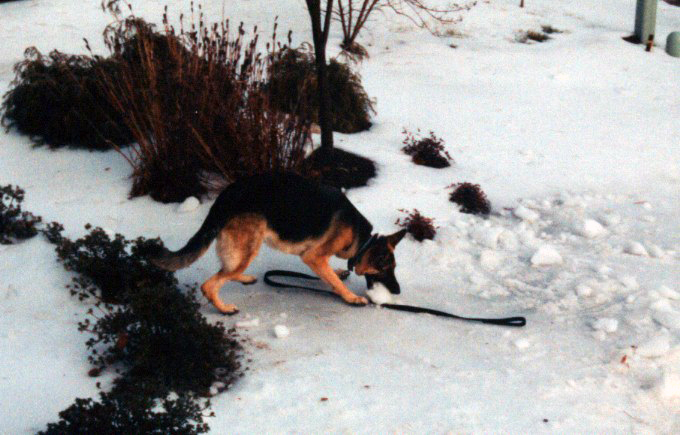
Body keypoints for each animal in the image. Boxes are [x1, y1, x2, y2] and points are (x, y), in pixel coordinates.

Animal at [151, 172, 406, 316]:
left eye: (394, 269)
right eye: (386, 269)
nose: (398, 291)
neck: (363, 240)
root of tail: (225, 198)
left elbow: (330, 273)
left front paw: (337, 272)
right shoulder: (313, 257)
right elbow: (333, 281)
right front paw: (350, 297)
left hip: (244, 249)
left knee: (227, 270)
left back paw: (242, 278)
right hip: (249, 246)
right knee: (210, 284)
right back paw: (223, 308)